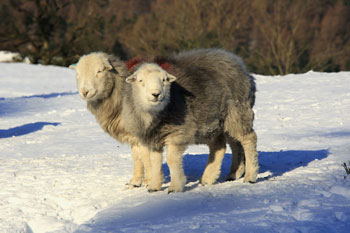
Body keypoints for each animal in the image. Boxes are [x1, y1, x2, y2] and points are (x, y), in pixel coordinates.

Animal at [70, 52, 152, 187]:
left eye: (99, 71)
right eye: (77, 73)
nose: (85, 92)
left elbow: (146, 156)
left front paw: (149, 181)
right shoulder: (133, 136)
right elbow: (136, 156)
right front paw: (135, 181)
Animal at [121, 48, 258, 192]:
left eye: (164, 80)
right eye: (141, 81)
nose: (156, 94)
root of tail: (236, 61)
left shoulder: (178, 133)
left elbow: (172, 159)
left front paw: (175, 186)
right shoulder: (154, 138)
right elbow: (155, 160)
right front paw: (154, 186)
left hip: (237, 112)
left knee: (249, 139)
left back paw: (250, 176)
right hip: (216, 120)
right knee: (225, 145)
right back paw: (220, 175)